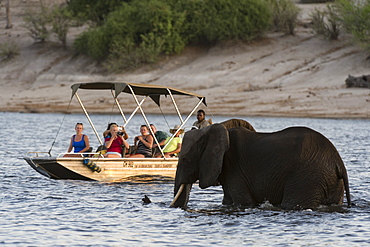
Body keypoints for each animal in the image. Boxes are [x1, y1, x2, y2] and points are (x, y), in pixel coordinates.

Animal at [171, 122, 350, 210]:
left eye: (185, 159)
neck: (210, 131)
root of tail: (339, 163)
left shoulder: (234, 168)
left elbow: (244, 202)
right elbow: (228, 201)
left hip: (308, 176)